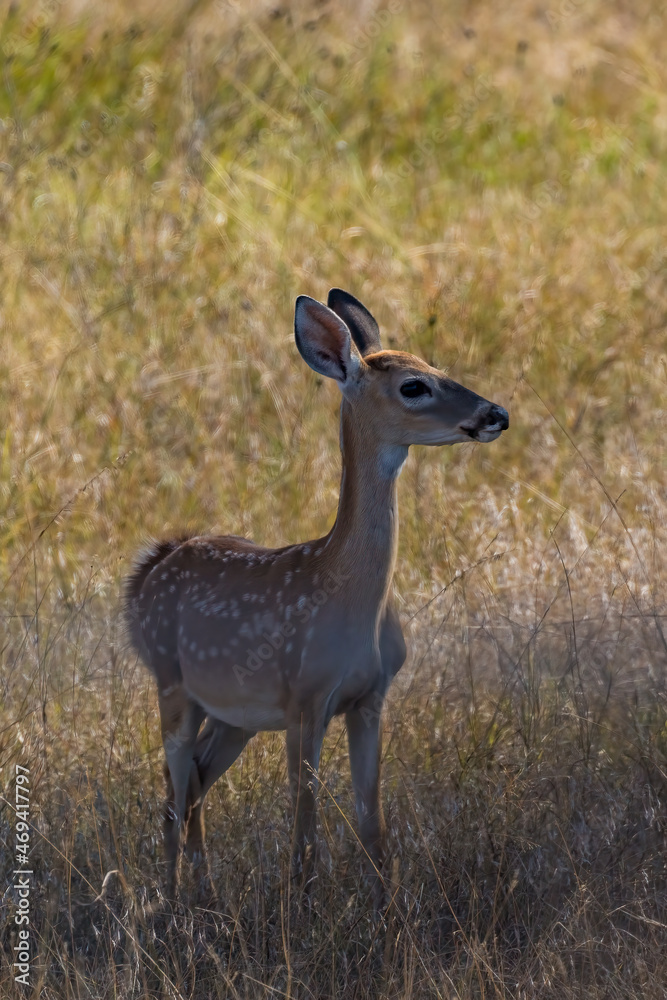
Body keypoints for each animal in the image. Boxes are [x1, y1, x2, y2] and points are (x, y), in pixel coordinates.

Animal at [124, 288, 509, 903]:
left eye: (435, 365)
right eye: (414, 386)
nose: (496, 414)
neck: (349, 596)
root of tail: (151, 566)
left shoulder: (370, 697)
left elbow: (372, 822)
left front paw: (387, 907)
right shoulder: (305, 699)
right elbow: (305, 827)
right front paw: (302, 904)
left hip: (235, 713)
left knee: (196, 783)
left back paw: (204, 891)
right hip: (171, 680)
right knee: (172, 789)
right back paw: (173, 898)